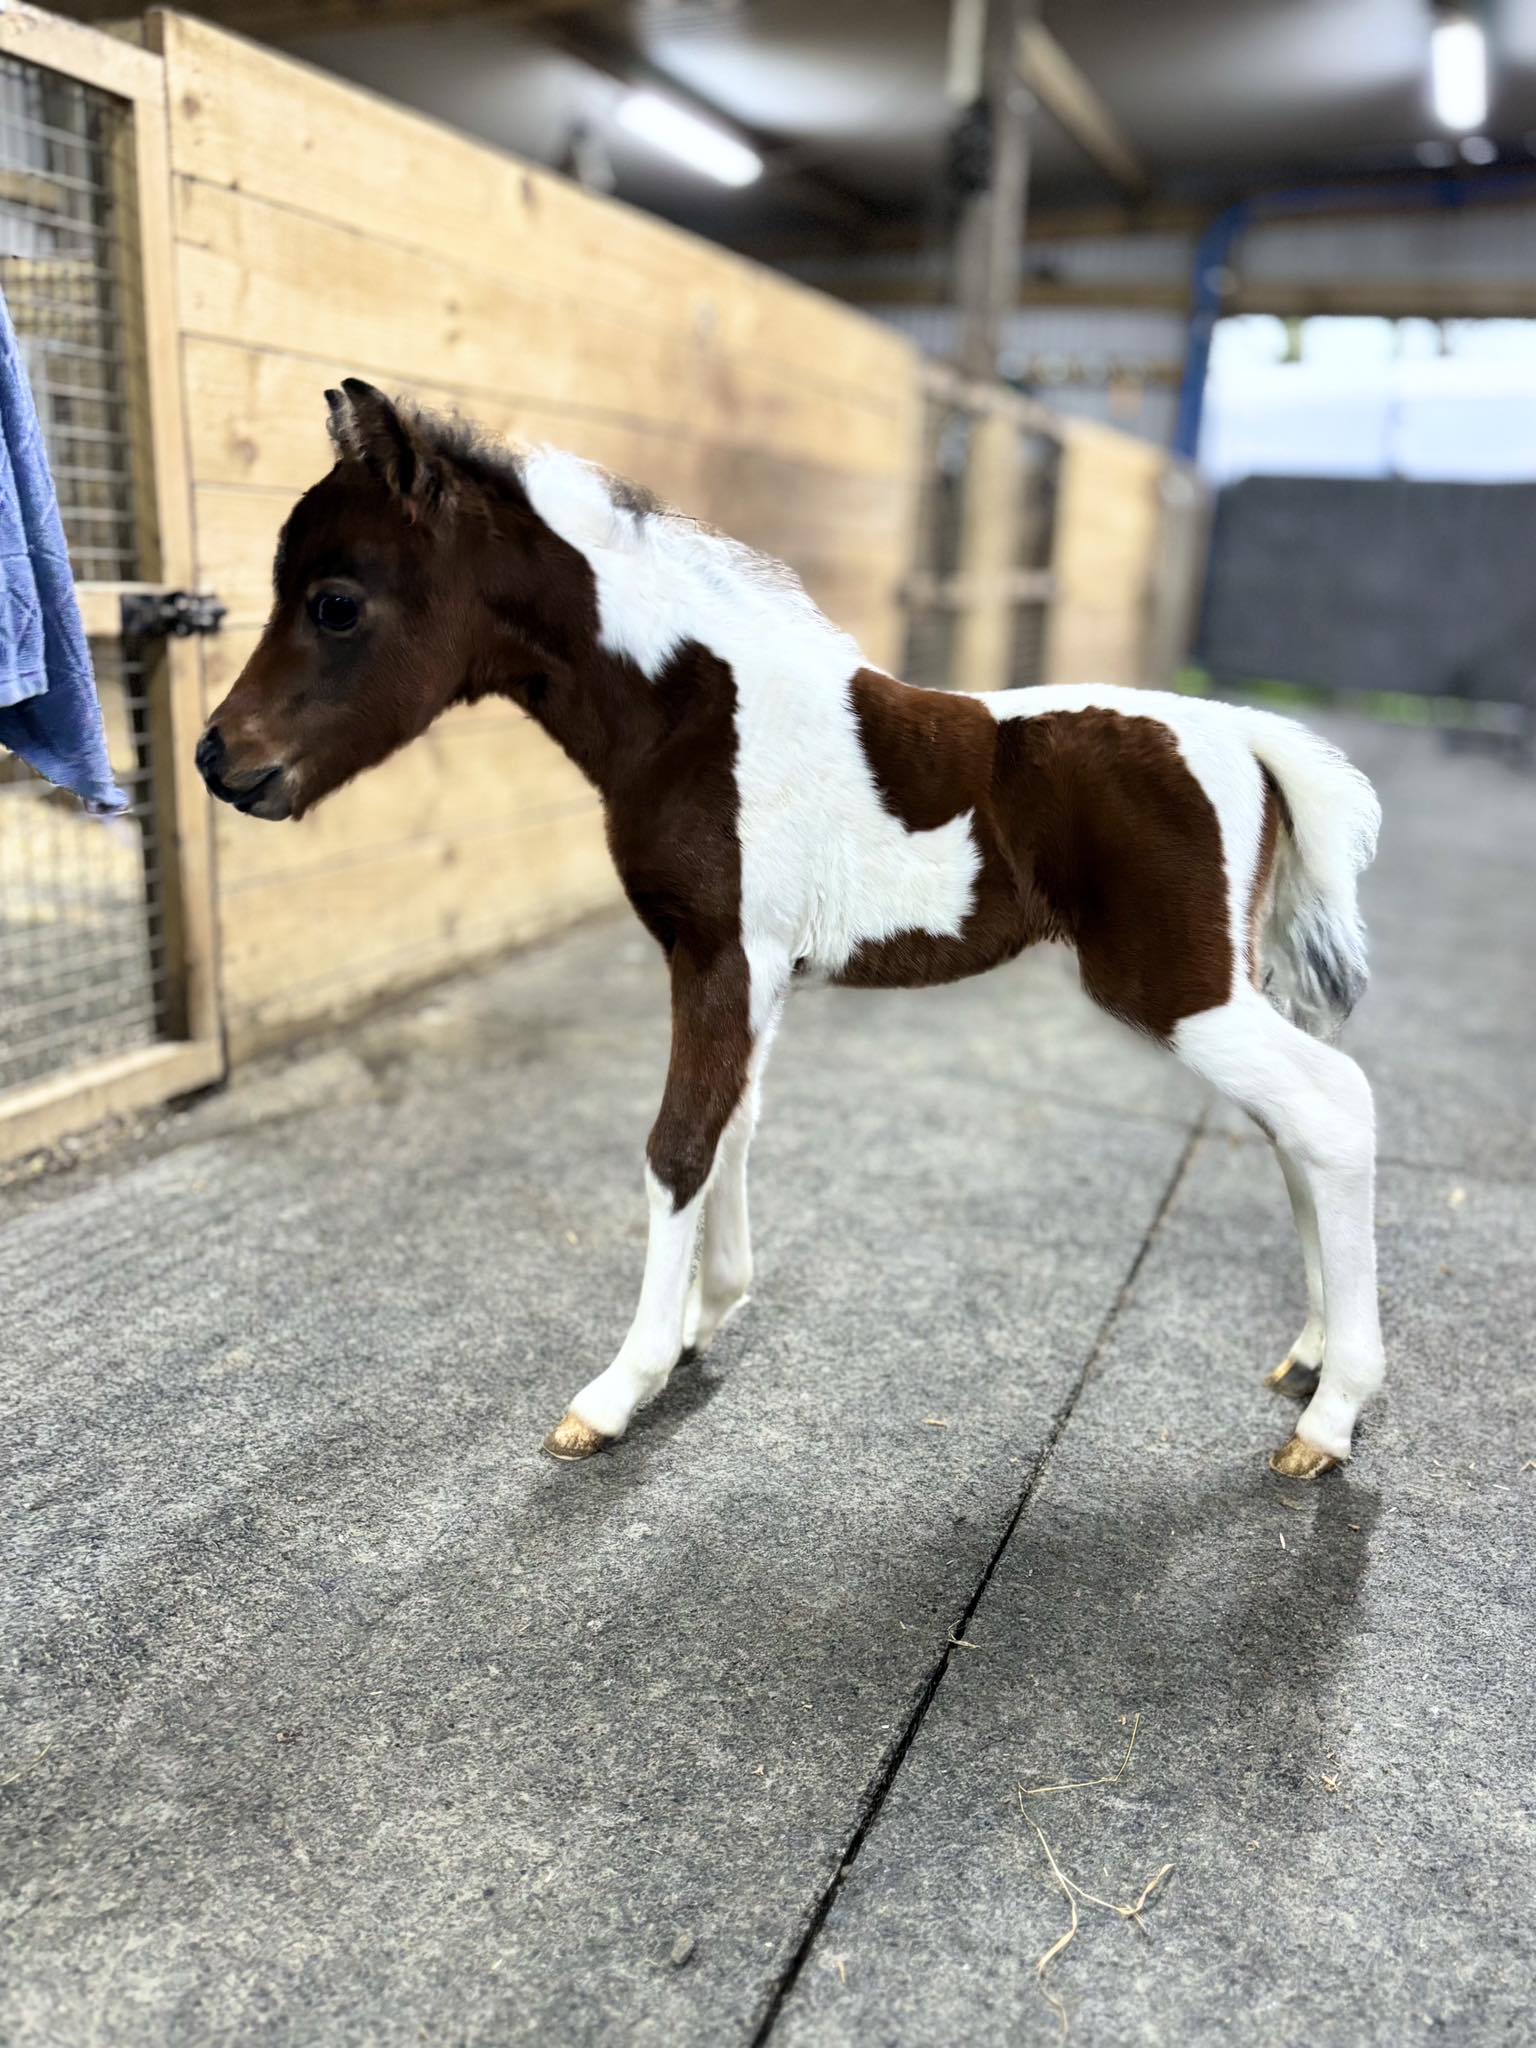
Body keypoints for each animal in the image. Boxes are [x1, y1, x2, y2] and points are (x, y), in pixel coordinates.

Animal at [196, 379, 1383, 1482]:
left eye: (336, 602)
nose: (218, 760)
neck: (691, 716)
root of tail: (1246, 734)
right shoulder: (746, 967)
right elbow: (732, 1123)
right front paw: (704, 1318)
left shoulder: (724, 954)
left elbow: (677, 1145)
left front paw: (619, 1387)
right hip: (1223, 985)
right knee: (1292, 1128)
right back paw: (1311, 1357)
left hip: (1180, 989)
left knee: (1332, 1107)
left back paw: (1331, 1417)